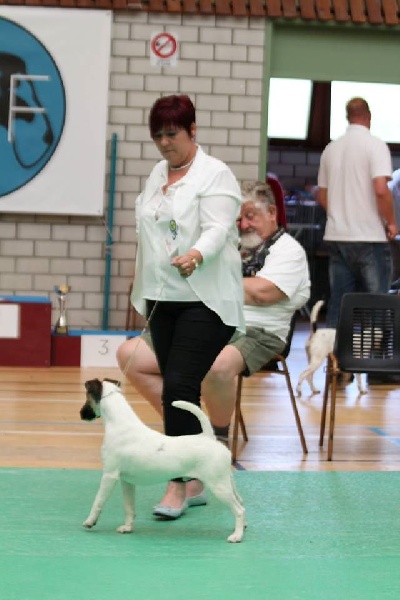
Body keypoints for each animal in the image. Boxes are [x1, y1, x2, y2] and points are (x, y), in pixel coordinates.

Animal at [80, 378, 246, 543]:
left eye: (87, 397)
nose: (81, 414)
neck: (121, 425)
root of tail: (209, 438)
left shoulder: (109, 476)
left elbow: (98, 501)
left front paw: (90, 521)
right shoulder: (126, 482)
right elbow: (129, 507)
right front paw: (127, 527)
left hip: (218, 486)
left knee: (238, 510)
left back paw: (236, 536)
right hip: (226, 482)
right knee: (241, 504)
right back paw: (241, 527)